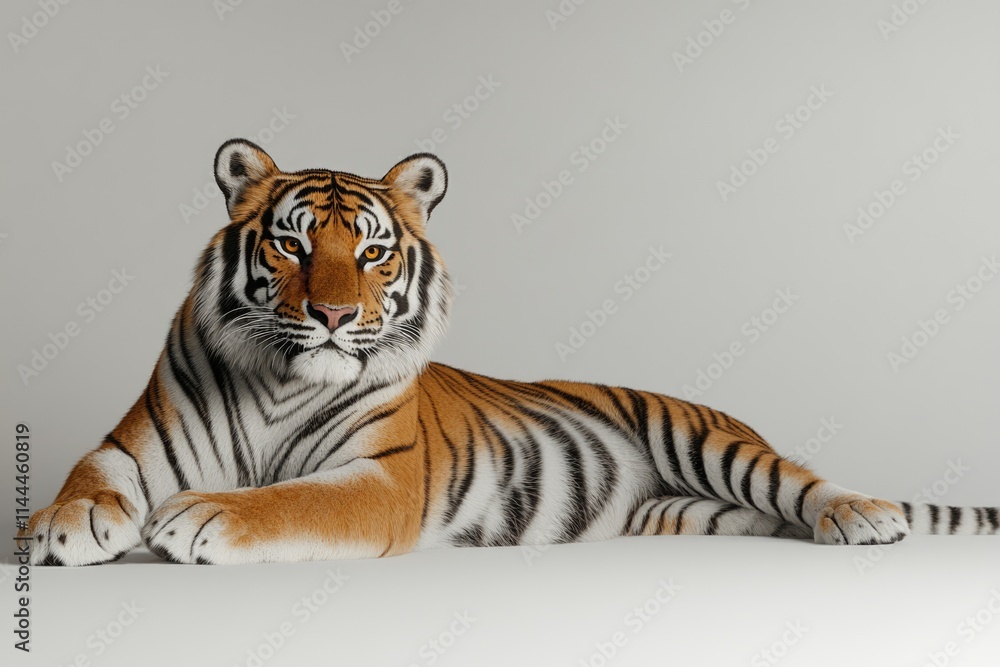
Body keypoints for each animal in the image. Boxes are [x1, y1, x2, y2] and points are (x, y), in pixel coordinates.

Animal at [24, 139, 1000, 566]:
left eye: (372, 253)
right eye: (293, 245)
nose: (334, 314)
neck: (280, 380)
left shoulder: (379, 480)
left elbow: (293, 500)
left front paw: (203, 516)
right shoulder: (135, 439)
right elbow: (89, 473)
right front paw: (60, 526)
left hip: (709, 441)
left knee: (801, 482)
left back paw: (864, 516)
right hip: (686, 512)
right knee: (759, 516)